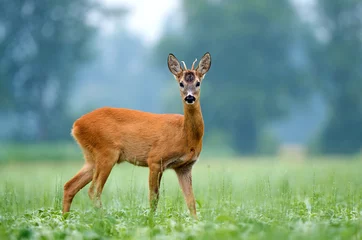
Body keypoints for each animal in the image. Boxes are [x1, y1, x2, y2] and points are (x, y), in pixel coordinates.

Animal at [63, 52, 212, 218]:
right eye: (181, 83)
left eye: (198, 83)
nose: (190, 97)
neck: (185, 135)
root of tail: (76, 125)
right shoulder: (155, 159)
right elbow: (154, 198)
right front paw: (151, 220)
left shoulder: (184, 167)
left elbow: (191, 202)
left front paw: (195, 222)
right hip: (106, 152)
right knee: (93, 190)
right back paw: (105, 219)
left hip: (91, 157)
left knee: (69, 186)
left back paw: (65, 218)